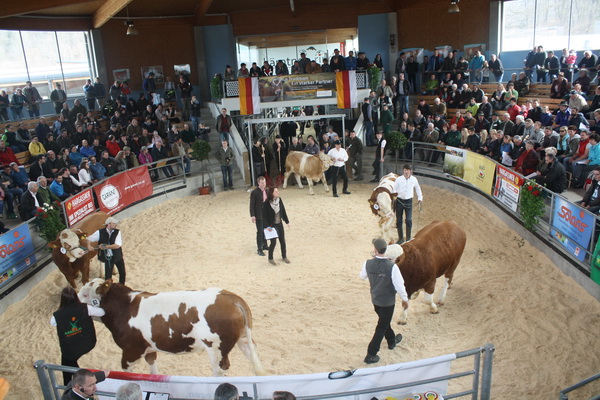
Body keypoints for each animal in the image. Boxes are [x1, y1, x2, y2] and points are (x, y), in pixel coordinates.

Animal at [78, 280, 266, 376]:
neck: (124, 307)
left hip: (216, 348)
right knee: (255, 361)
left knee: (219, 371)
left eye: (85, 294)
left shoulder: (130, 352)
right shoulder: (149, 350)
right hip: (243, 339)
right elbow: (153, 373)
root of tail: (232, 298)